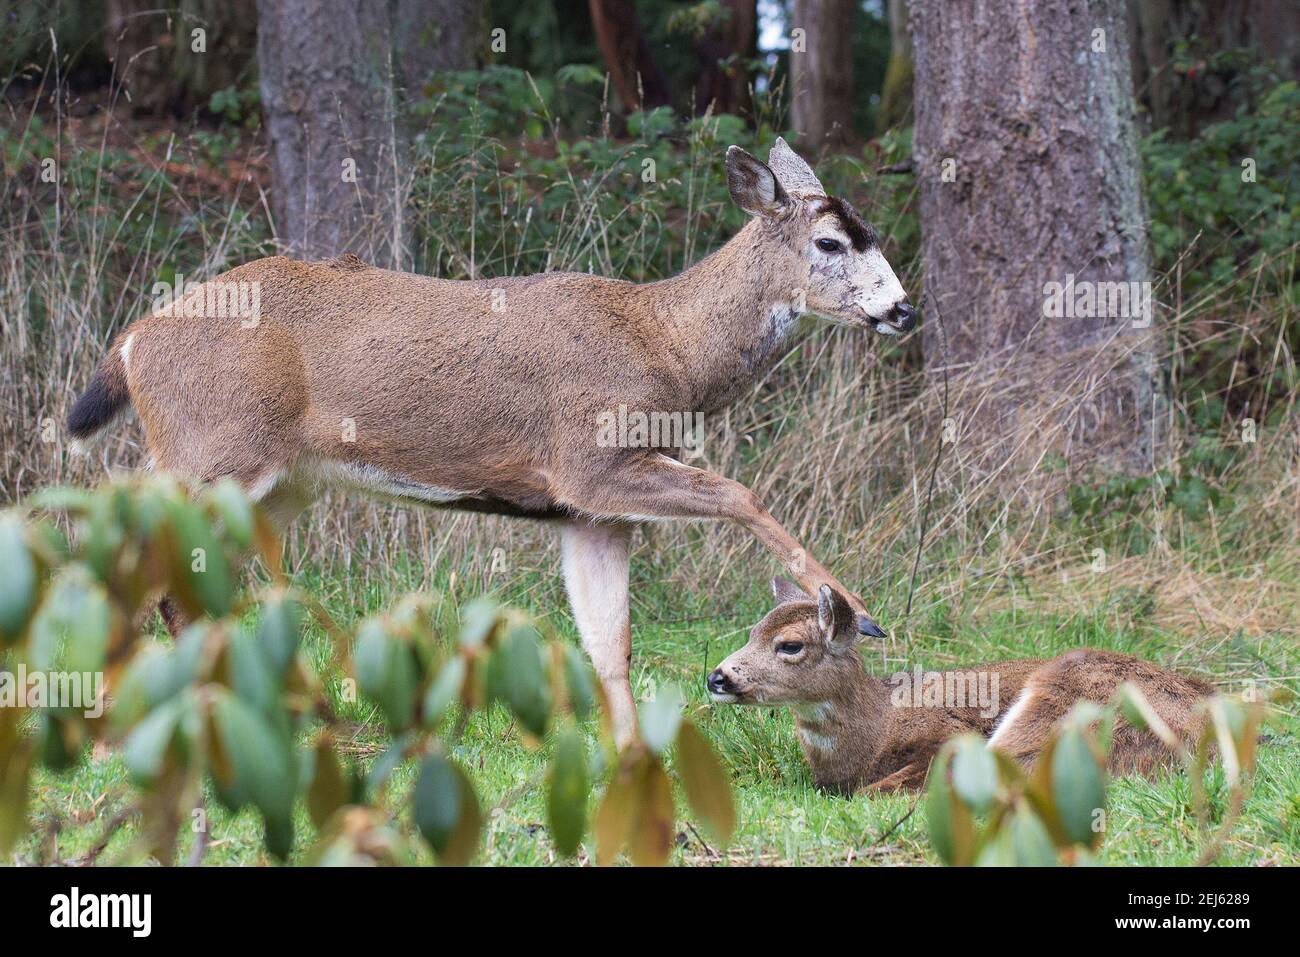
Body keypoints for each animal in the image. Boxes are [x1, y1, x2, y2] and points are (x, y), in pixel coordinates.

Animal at [66, 138, 913, 747]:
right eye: (832, 242)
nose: (903, 309)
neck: (664, 345)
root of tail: (132, 342)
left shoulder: (591, 513)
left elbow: (609, 643)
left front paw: (633, 760)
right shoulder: (591, 460)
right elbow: (741, 492)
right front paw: (860, 612)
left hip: (278, 483)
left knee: (189, 585)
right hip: (207, 456)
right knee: (131, 570)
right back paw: (116, 731)